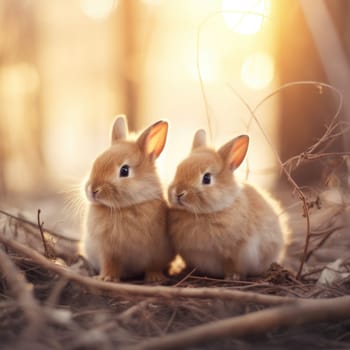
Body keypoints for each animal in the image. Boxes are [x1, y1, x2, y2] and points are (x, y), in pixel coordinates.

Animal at [81, 115, 175, 282]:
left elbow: (154, 265)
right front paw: (107, 278)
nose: (93, 190)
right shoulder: (108, 250)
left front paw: (156, 278)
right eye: (95, 163)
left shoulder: (157, 251)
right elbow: (110, 263)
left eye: (124, 171)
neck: (127, 207)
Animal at [168, 130, 286, 280]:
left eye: (207, 178)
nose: (178, 193)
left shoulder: (236, 252)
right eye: (178, 170)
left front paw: (232, 277)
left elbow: (232, 265)